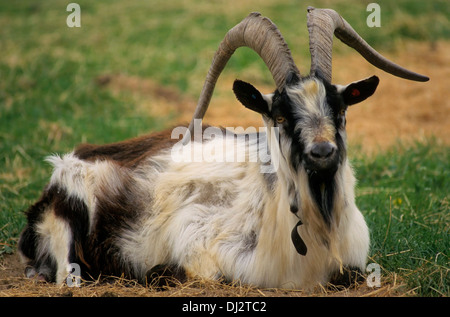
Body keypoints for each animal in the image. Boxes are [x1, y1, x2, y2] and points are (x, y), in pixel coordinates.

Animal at [19, 8, 428, 288]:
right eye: (280, 116)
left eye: (340, 109)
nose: (323, 153)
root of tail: (74, 158)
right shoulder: (200, 243)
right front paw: (159, 271)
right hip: (65, 218)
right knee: (68, 274)